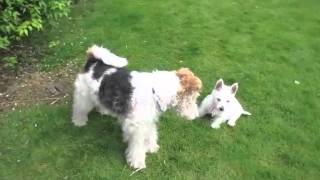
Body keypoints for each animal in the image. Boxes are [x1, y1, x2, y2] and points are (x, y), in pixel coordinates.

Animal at [72, 45, 202, 169]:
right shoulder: (137, 127)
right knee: (79, 108)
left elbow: (151, 133)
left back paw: (104, 111)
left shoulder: (148, 120)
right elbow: (138, 146)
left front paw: (152, 147)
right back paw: (79, 122)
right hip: (84, 96)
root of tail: (93, 61)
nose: (196, 116)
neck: (155, 91)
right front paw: (137, 163)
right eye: (193, 97)